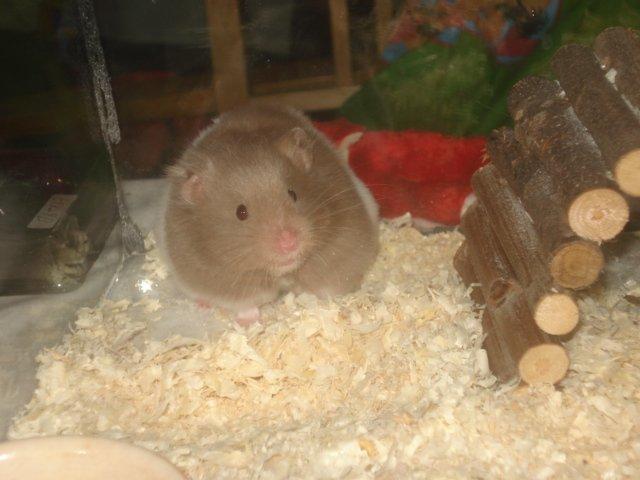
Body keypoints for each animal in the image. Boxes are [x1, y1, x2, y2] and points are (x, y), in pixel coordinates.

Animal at [161, 103, 379, 325]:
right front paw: (248, 322)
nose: (289, 243)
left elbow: (326, 286)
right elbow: (246, 303)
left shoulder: (341, 247)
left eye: (293, 194)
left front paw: (330, 306)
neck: (282, 273)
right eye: (241, 212)